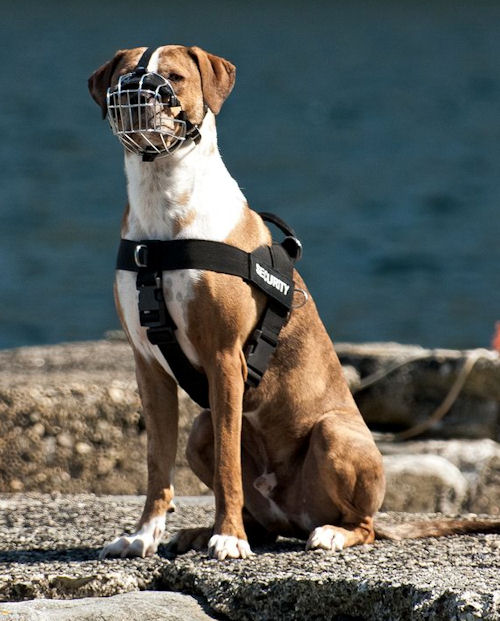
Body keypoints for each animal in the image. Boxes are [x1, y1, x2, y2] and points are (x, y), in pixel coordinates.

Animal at [90, 42, 500, 556]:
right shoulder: (149, 366)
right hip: (201, 431)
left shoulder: (224, 358)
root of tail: (295, 515)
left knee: (362, 523)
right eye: (122, 78)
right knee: (259, 512)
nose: (138, 96)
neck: (165, 204)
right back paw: (208, 531)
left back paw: (324, 533)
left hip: (332, 435)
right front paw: (144, 534)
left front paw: (229, 539)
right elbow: (156, 463)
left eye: (175, 77)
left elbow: (228, 466)